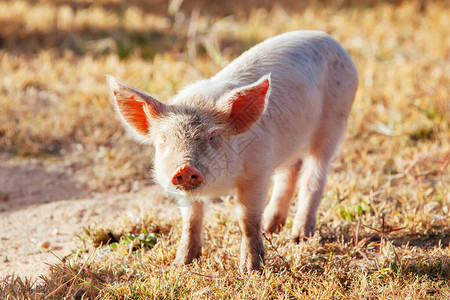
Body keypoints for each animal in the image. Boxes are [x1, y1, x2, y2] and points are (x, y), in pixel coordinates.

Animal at [107, 30, 356, 272]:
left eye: (212, 137)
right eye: (164, 140)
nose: (185, 167)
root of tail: (332, 41)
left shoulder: (257, 172)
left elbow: (247, 219)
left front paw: (251, 270)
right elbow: (190, 220)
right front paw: (180, 264)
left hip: (334, 122)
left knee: (314, 177)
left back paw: (299, 237)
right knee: (290, 171)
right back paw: (272, 228)